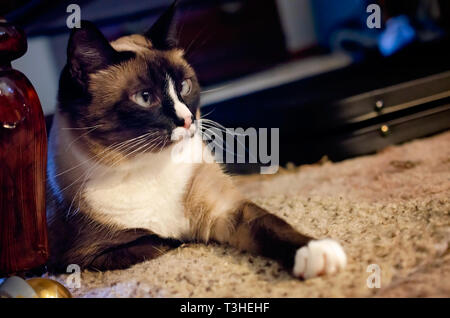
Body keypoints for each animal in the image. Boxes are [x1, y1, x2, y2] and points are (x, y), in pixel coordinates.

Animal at [46, 1, 348, 278]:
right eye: (145, 98)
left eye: (184, 86)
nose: (187, 119)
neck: (150, 168)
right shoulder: (86, 256)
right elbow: (165, 240)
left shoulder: (228, 211)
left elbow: (274, 225)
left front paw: (317, 253)